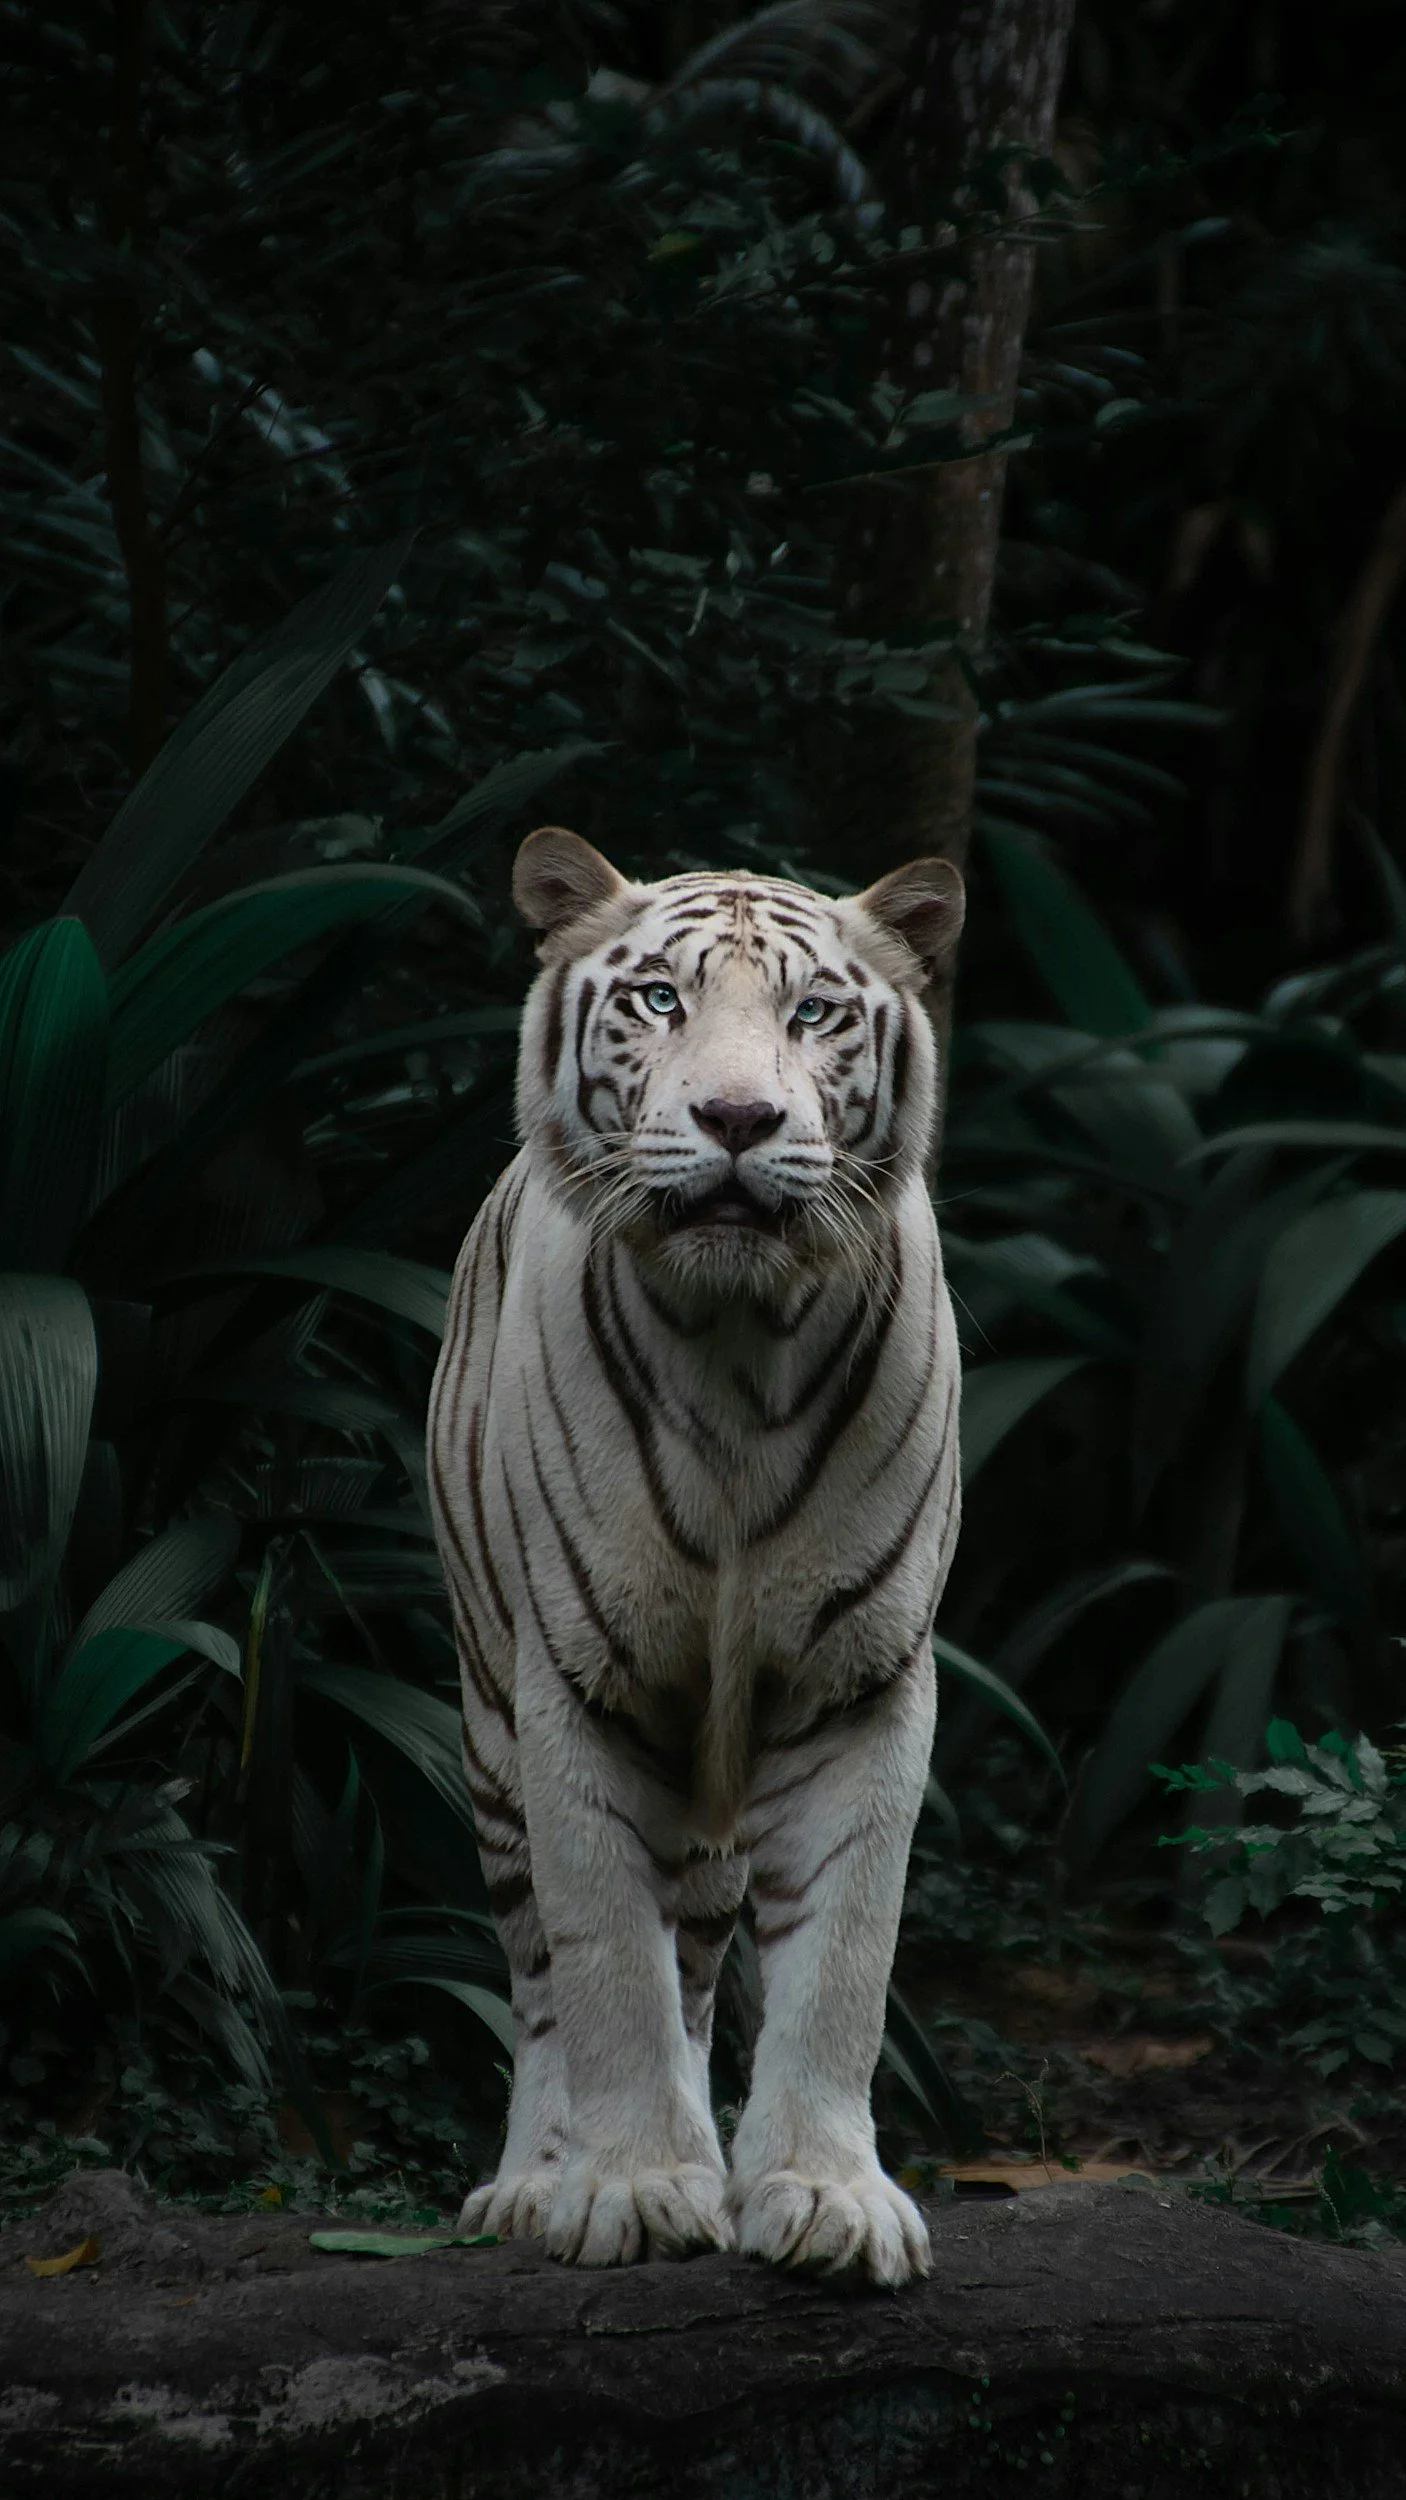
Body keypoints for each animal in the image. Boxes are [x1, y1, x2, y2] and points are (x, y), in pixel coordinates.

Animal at [427, 826, 964, 2287]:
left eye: (813, 1012)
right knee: (541, 1976)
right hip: (488, 1728)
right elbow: (604, 1961)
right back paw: (533, 2182)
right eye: (660, 1000)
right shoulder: (575, 1684)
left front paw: (823, 2196)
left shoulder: (859, 1683)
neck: (736, 1345)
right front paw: (629, 2187)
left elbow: (840, 1963)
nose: (735, 1121)